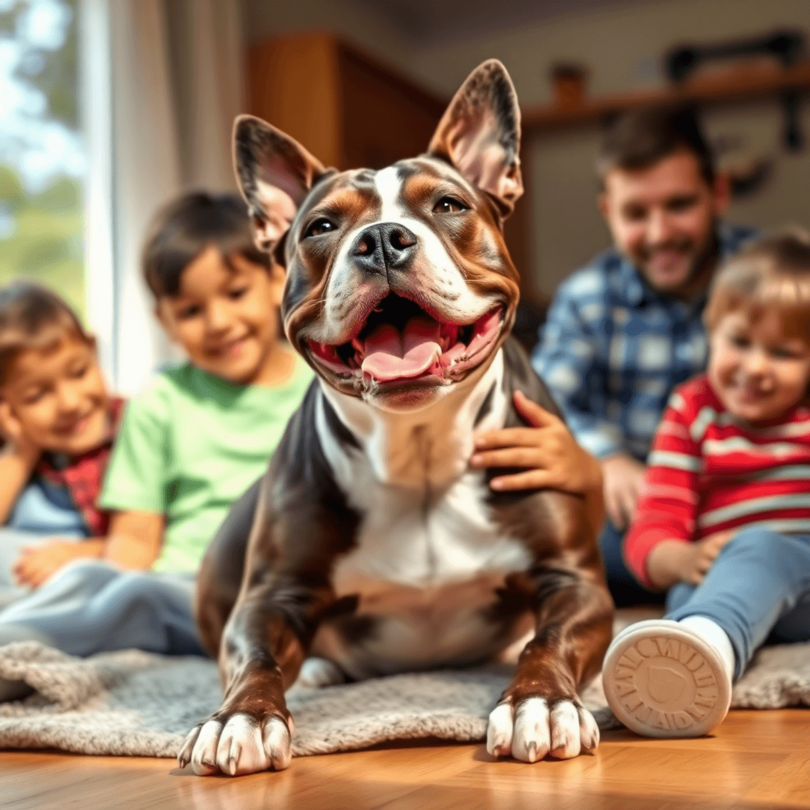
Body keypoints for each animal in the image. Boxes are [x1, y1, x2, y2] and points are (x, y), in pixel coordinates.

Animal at [180, 60, 608, 772]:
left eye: (448, 206)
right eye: (321, 227)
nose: (381, 239)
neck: (421, 449)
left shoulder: (572, 578)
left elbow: (548, 641)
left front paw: (540, 703)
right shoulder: (268, 596)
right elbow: (255, 657)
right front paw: (241, 717)